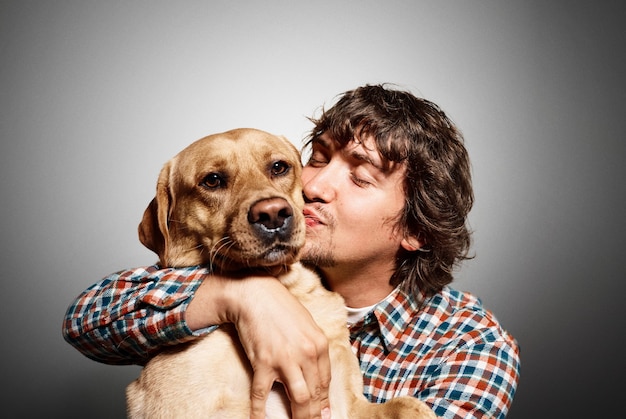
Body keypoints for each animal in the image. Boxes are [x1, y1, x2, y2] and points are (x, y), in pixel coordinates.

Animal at [123, 129, 432, 419]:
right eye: (212, 180)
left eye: (278, 167)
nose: (272, 214)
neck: (289, 289)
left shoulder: (346, 403)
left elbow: (406, 405)